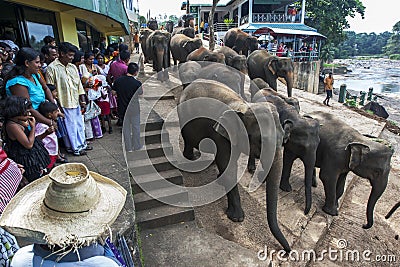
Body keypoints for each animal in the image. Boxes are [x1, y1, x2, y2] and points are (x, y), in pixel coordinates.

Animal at [179, 78, 290, 253]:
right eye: (260, 141)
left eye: (284, 139)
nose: (287, 251)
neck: (243, 106)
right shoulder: (220, 134)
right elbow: (228, 165)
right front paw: (237, 218)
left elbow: (230, 163)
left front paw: (220, 179)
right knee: (188, 140)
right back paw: (192, 158)